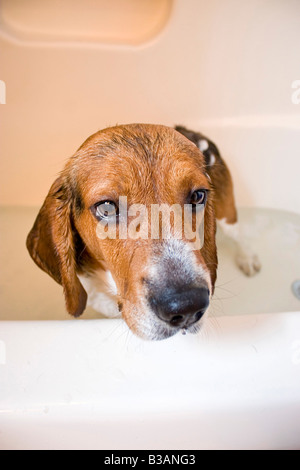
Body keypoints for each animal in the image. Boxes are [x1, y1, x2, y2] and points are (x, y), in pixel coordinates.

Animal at [26, 123, 260, 340]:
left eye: (197, 196)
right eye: (106, 208)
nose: (187, 305)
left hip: (226, 215)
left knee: (238, 234)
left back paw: (247, 258)